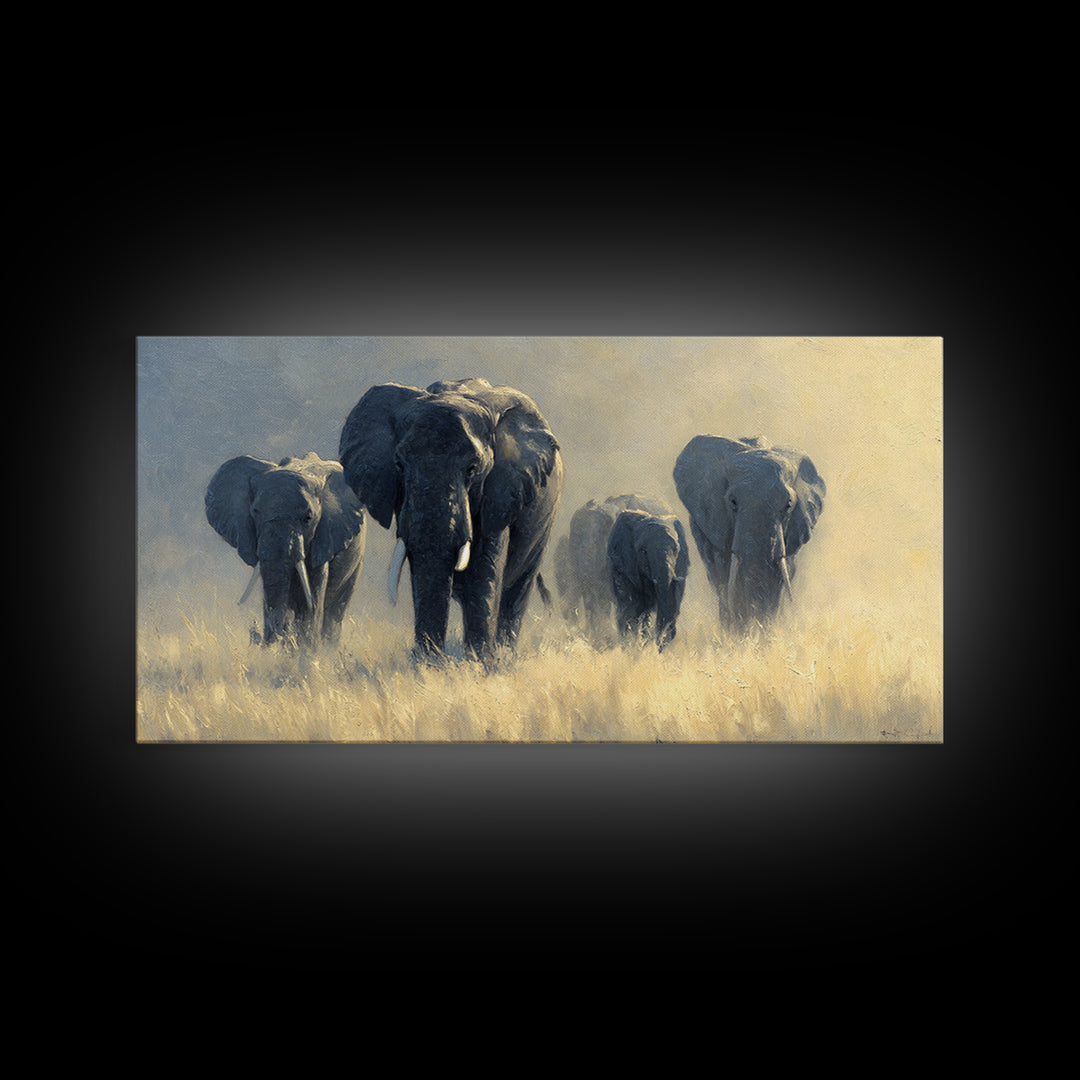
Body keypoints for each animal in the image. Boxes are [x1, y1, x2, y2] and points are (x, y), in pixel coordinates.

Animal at [205, 452, 366, 646]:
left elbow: (312, 596)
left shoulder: (326, 535)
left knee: (335, 612)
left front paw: (305, 649)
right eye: (255, 512)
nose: (254, 634)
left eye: (308, 517)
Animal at [338, 377, 563, 661]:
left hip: (545, 520)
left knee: (517, 588)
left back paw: (504, 656)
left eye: (473, 469)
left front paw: (478, 664)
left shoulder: (502, 488)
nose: (430, 659)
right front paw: (428, 665)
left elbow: (483, 568)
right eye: (399, 464)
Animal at [606, 509, 689, 650]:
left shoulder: (681, 568)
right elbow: (631, 605)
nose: (659, 646)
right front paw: (635, 643)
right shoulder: (624, 564)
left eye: (676, 549)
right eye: (643, 551)